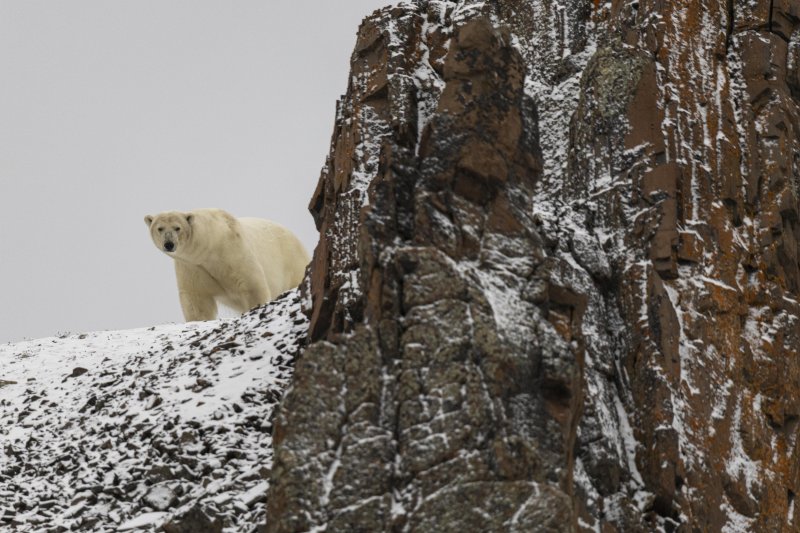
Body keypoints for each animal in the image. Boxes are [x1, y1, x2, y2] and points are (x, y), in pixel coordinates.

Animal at [144, 209, 310, 320]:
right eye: (160, 228)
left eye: (177, 228)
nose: (169, 244)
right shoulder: (192, 267)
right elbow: (196, 299)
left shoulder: (233, 251)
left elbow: (252, 285)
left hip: (292, 261)